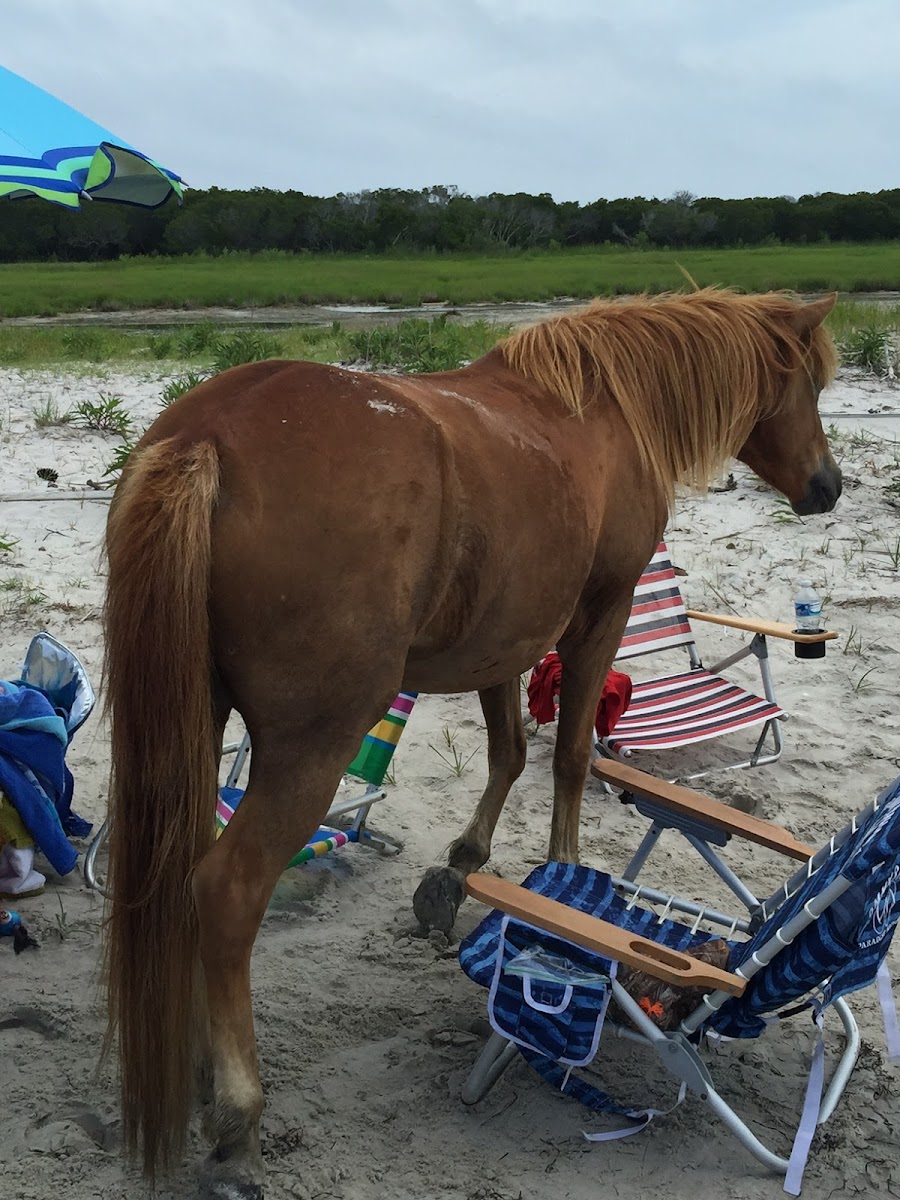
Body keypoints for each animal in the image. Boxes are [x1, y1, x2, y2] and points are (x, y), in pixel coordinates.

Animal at [105, 288, 844, 1190]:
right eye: (810, 382)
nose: (828, 485)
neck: (601, 408)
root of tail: (206, 433)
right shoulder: (601, 614)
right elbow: (569, 757)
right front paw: (562, 879)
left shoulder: (508, 637)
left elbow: (509, 753)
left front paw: (460, 870)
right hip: (307, 753)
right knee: (225, 890)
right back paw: (237, 1110)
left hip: (196, 729)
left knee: (180, 875)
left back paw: (195, 1066)